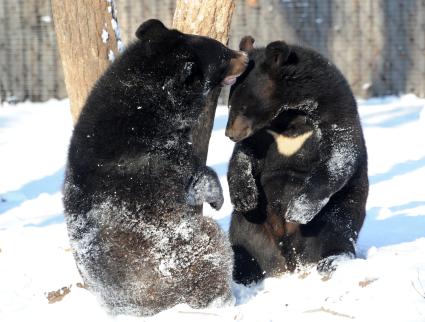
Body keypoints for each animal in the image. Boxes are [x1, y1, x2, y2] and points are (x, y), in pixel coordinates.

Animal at [63, 20, 248, 316]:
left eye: (221, 46)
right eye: (222, 55)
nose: (246, 57)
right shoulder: (162, 152)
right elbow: (195, 177)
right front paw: (216, 197)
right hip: (187, 253)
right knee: (212, 249)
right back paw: (222, 300)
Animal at [225, 36, 368, 286]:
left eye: (243, 105)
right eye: (230, 102)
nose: (230, 133)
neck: (289, 115)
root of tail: (290, 255)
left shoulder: (334, 111)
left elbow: (340, 154)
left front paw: (297, 209)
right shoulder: (263, 135)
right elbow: (244, 154)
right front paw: (244, 195)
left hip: (337, 211)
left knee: (335, 233)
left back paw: (331, 262)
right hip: (256, 224)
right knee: (246, 241)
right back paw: (244, 273)